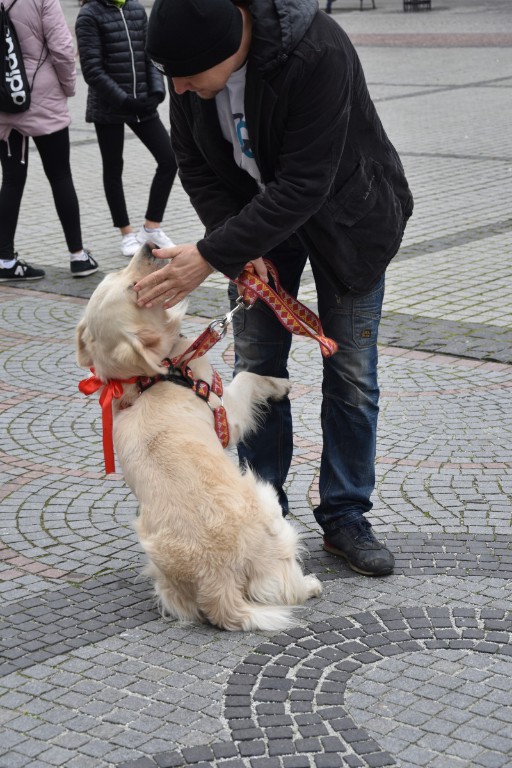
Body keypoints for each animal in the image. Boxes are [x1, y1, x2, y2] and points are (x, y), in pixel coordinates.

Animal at [76, 244, 322, 632]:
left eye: (116, 276)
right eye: (133, 287)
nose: (148, 246)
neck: (146, 380)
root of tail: (218, 584)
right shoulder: (227, 411)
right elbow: (250, 376)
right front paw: (280, 383)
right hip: (267, 502)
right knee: (289, 588)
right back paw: (311, 584)